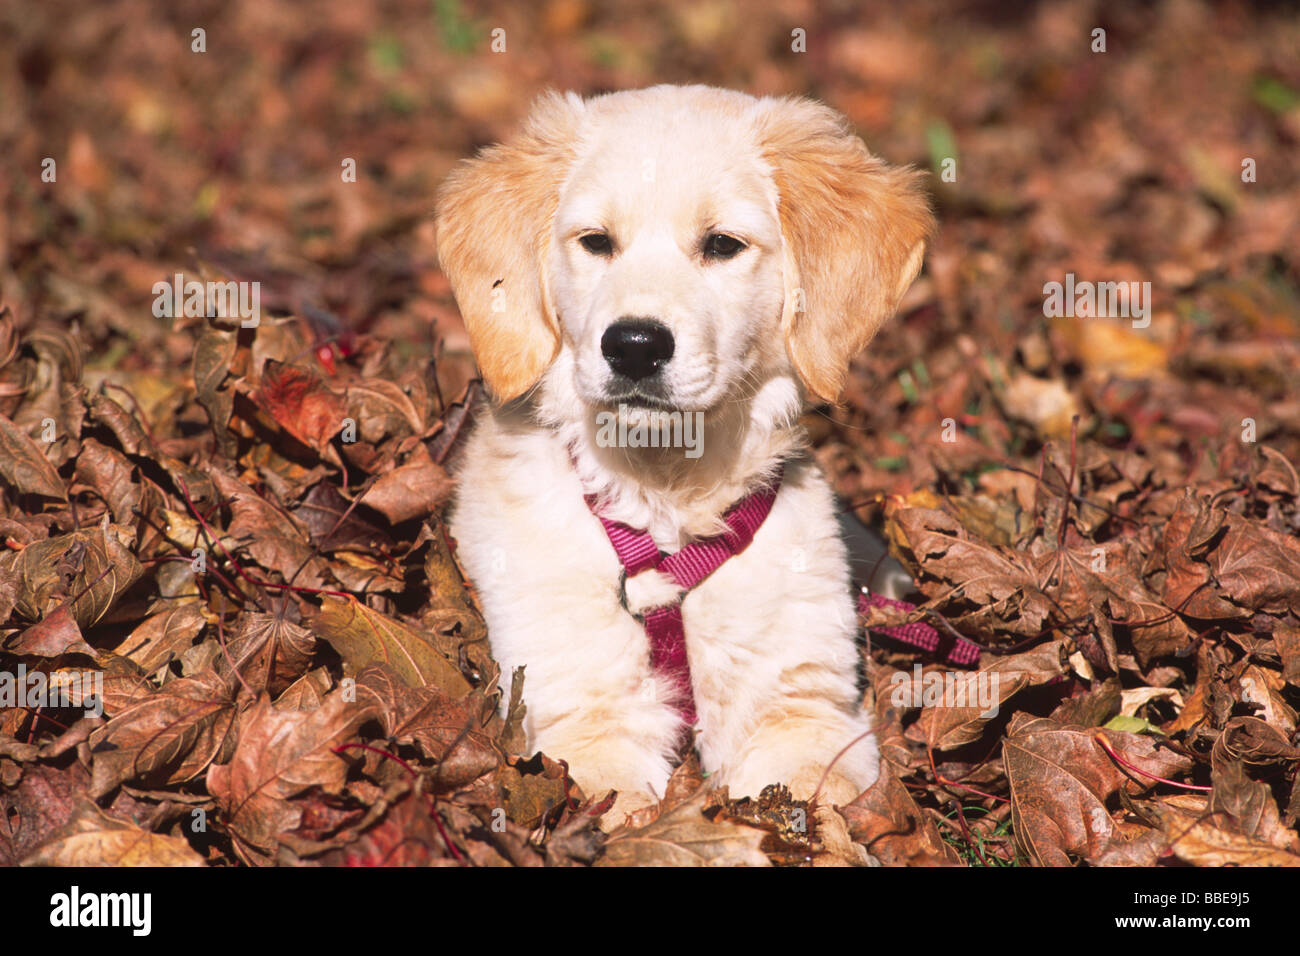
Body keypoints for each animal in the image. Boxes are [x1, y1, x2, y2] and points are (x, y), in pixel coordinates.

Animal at [436, 85, 935, 827]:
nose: (634, 346)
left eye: (722, 245)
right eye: (596, 242)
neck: (666, 496)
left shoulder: (799, 714)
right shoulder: (582, 718)